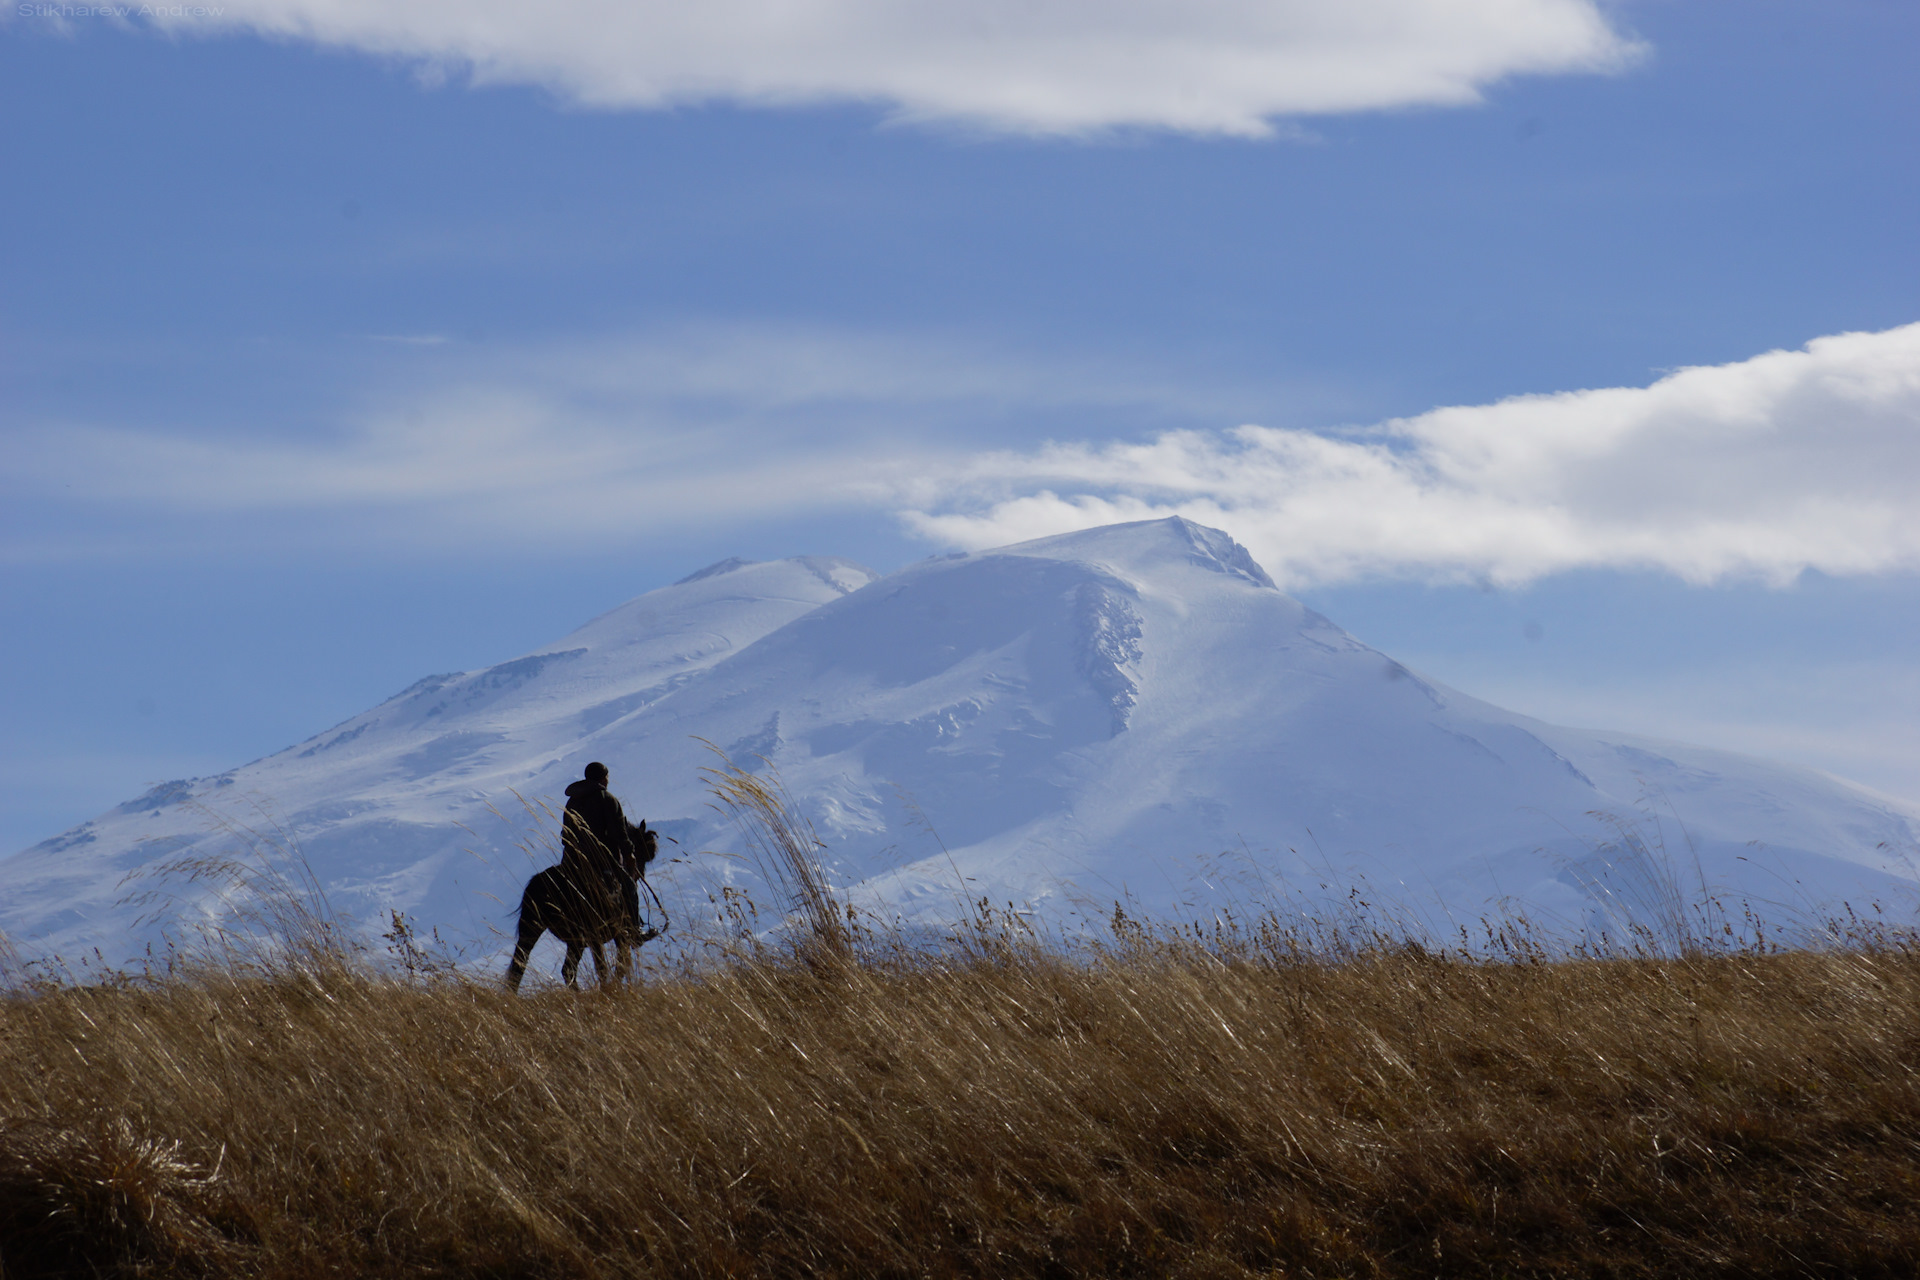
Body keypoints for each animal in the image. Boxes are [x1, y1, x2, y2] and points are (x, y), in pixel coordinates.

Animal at [506, 821, 664, 990]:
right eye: (641, 849)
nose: (639, 872)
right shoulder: (619, 934)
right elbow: (620, 965)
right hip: (583, 937)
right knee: (580, 969)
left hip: (541, 933)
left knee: (529, 968)